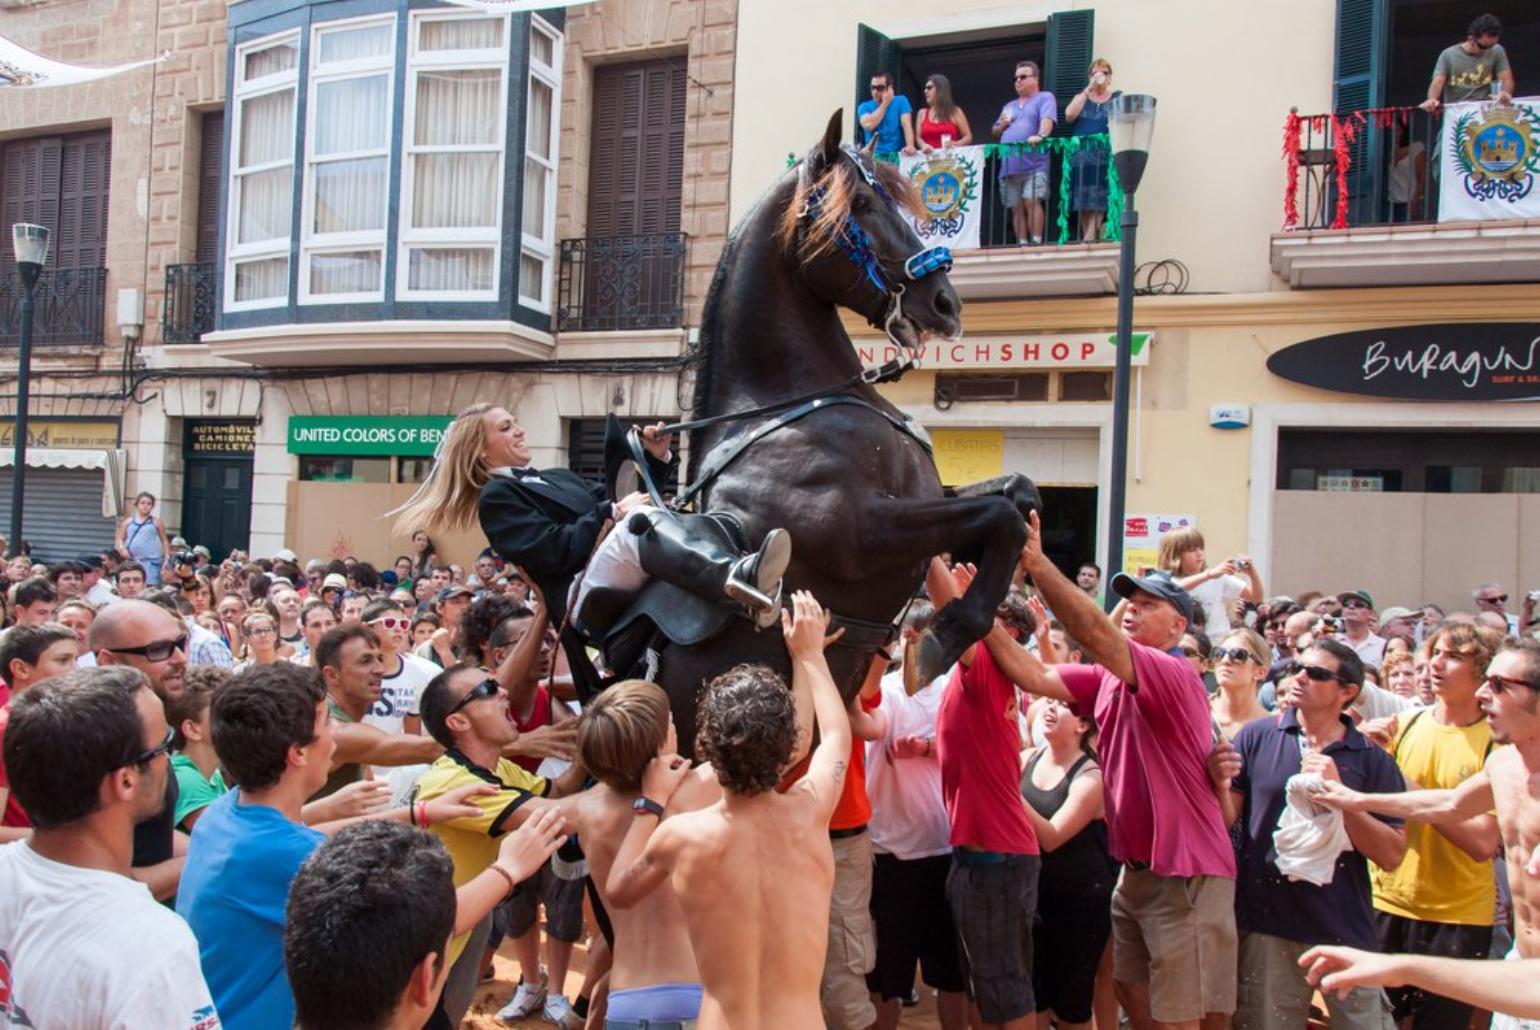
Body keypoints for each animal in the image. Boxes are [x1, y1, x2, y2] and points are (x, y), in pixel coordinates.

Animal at [631, 112, 1041, 751]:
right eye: (865, 206)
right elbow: (1000, 517)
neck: (789, 402)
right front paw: (942, 638)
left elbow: (1017, 494)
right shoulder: (860, 531)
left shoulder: (928, 502)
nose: (945, 303)